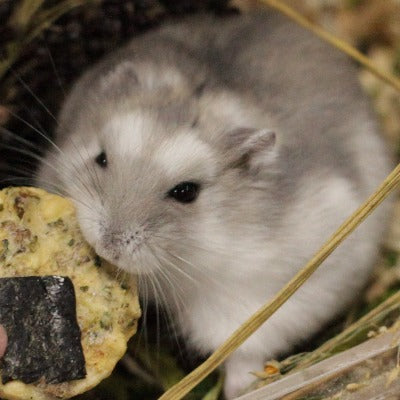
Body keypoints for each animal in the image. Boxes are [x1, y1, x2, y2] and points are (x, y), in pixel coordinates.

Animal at [38, 10, 394, 398]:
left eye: (186, 193)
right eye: (100, 158)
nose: (107, 245)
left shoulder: (281, 286)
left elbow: (244, 346)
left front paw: (240, 389)